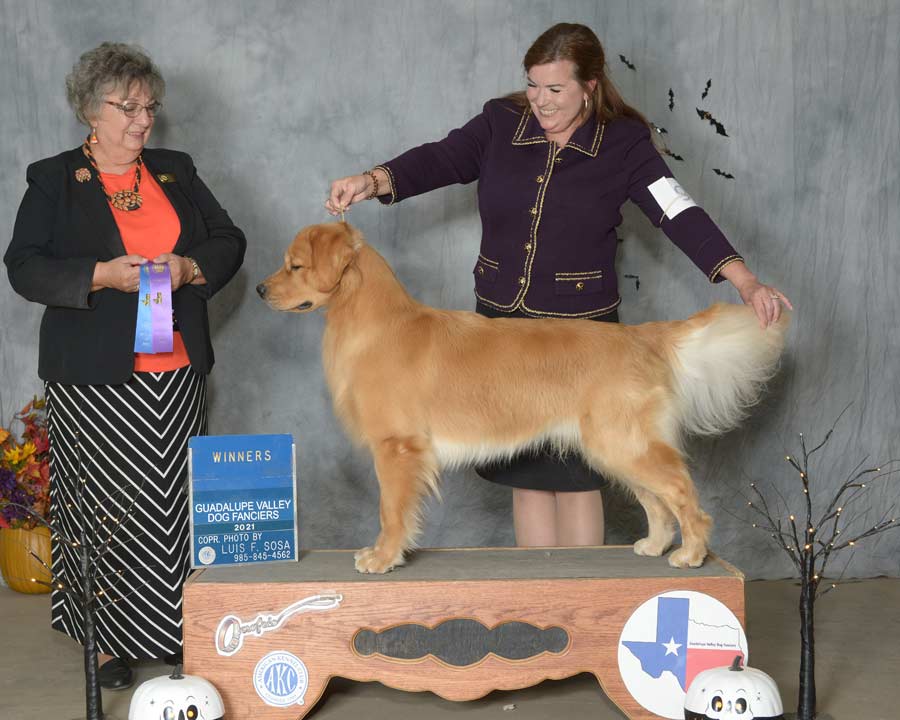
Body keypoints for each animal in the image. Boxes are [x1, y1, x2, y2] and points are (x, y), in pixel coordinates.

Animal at [256, 222, 792, 572]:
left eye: (294, 265)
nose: (260, 289)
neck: (374, 324)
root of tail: (642, 336)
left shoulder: (397, 448)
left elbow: (391, 510)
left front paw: (383, 557)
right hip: (611, 449)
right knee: (658, 502)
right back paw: (654, 546)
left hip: (622, 442)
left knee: (683, 495)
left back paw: (693, 552)